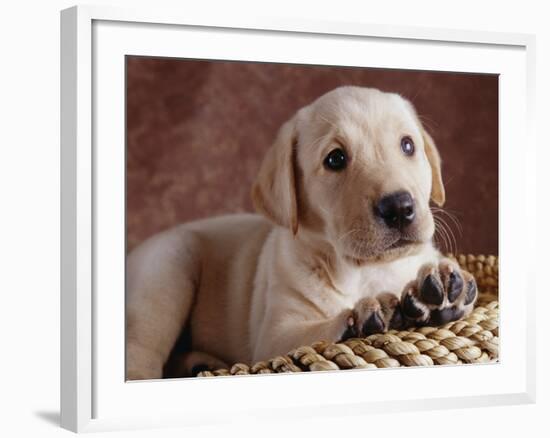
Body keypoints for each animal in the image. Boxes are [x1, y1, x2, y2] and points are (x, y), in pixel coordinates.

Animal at [126, 86, 478, 380]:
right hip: (168, 268)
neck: (366, 271)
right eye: (335, 159)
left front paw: (443, 289)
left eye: (407, 145)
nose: (399, 207)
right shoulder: (274, 336)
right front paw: (361, 318)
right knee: (140, 352)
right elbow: (313, 334)